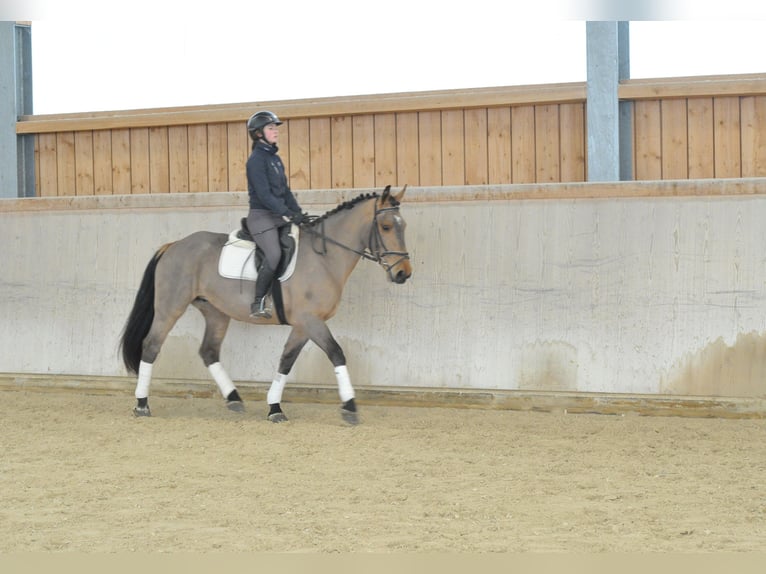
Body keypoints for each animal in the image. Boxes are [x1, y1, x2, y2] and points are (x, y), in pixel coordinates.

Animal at [118, 185, 412, 424]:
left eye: (404, 226)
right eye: (386, 226)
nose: (403, 274)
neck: (324, 258)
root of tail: (174, 245)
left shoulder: (304, 325)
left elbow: (286, 361)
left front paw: (275, 407)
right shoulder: (311, 321)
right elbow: (336, 354)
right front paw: (350, 406)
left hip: (216, 312)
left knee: (209, 351)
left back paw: (234, 399)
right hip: (171, 307)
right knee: (151, 346)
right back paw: (142, 404)